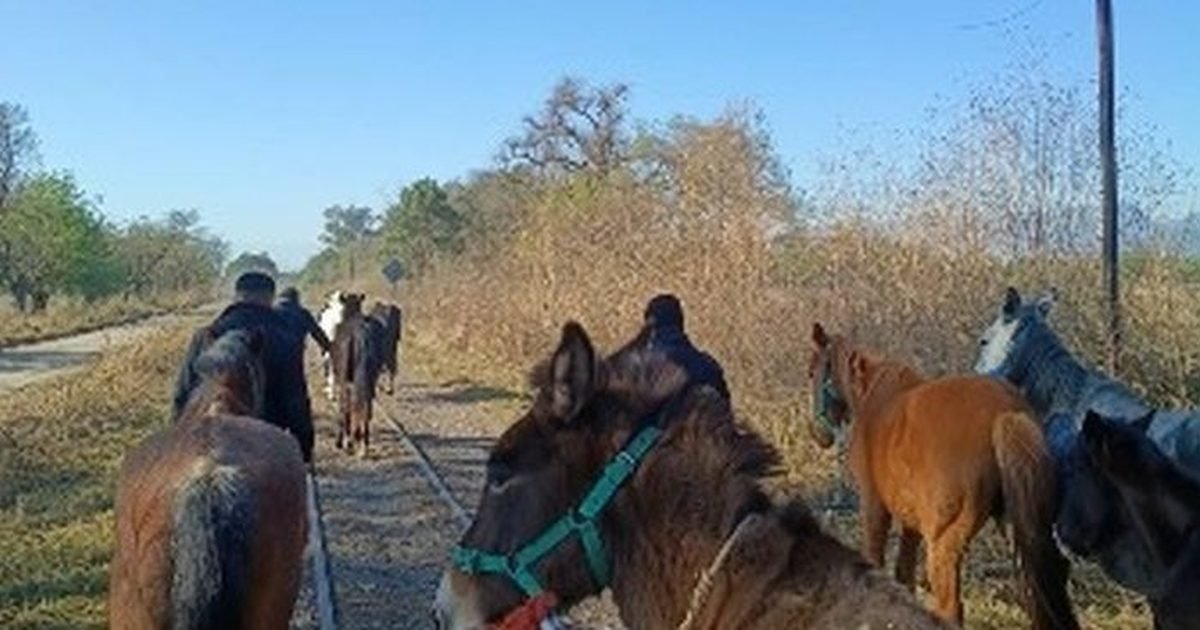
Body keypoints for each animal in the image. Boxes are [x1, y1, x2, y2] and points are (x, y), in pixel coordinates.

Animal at [331, 293, 384, 457]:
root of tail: (360, 336)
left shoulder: (344, 381)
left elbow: (344, 406)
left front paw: (341, 441)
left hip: (344, 380)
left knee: (346, 405)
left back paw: (348, 442)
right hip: (370, 379)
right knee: (366, 407)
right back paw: (364, 445)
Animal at [808, 322, 1076, 628]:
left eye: (812, 371)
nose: (818, 434)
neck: (874, 398)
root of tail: (1004, 413)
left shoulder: (874, 506)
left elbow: (875, 559)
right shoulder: (911, 519)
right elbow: (904, 574)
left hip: (943, 544)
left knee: (951, 609)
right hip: (1022, 534)